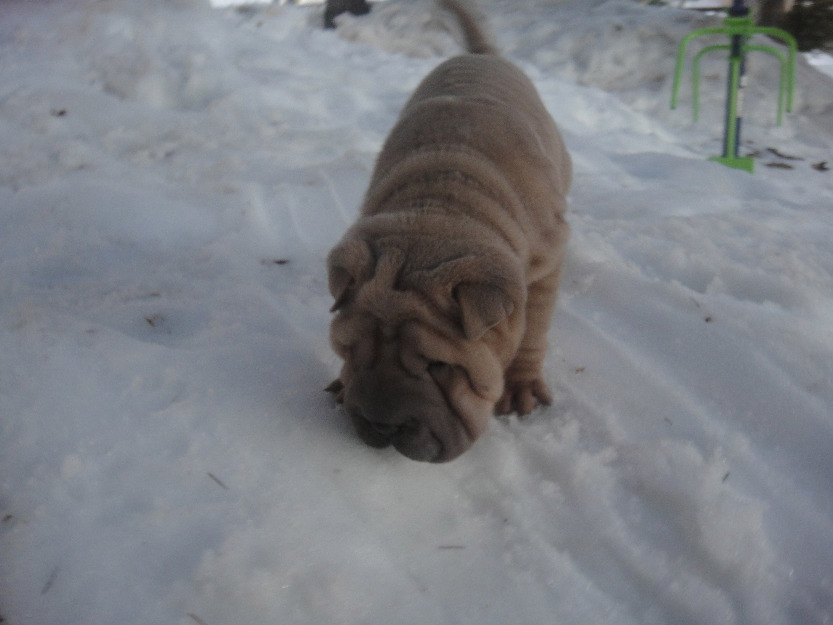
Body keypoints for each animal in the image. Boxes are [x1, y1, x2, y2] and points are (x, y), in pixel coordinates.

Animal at [324, 0, 572, 458]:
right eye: (349, 348)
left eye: (440, 366)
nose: (382, 426)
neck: (439, 206)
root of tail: (482, 56)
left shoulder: (548, 259)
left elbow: (533, 326)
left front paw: (522, 385)